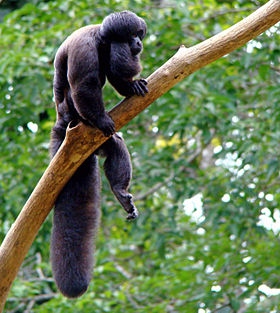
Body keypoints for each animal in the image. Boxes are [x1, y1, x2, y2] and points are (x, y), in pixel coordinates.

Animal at [49, 10, 149, 298]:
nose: (137, 44)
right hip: (73, 116)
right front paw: (103, 119)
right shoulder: (85, 48)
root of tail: (62, 125)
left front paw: (131, 87)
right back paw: (94, 121)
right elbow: (84, 85)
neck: (104, 39)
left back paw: (120, 191)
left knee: (115, 146)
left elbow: (115, 77)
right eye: (132, 36)